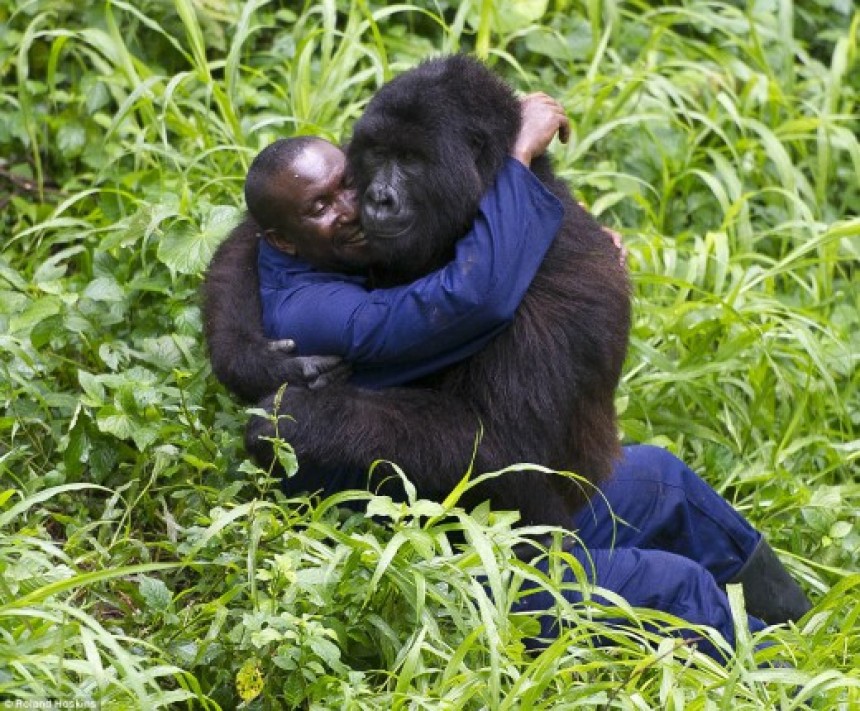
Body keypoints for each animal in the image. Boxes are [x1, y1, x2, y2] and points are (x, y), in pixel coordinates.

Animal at [204, 57, 628, 528]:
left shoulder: (550, 292)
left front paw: (296, 418)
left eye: (410, 159)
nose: (377, 198)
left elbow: (506, 451)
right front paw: (250, 358)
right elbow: (249, 238)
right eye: (377, 153)